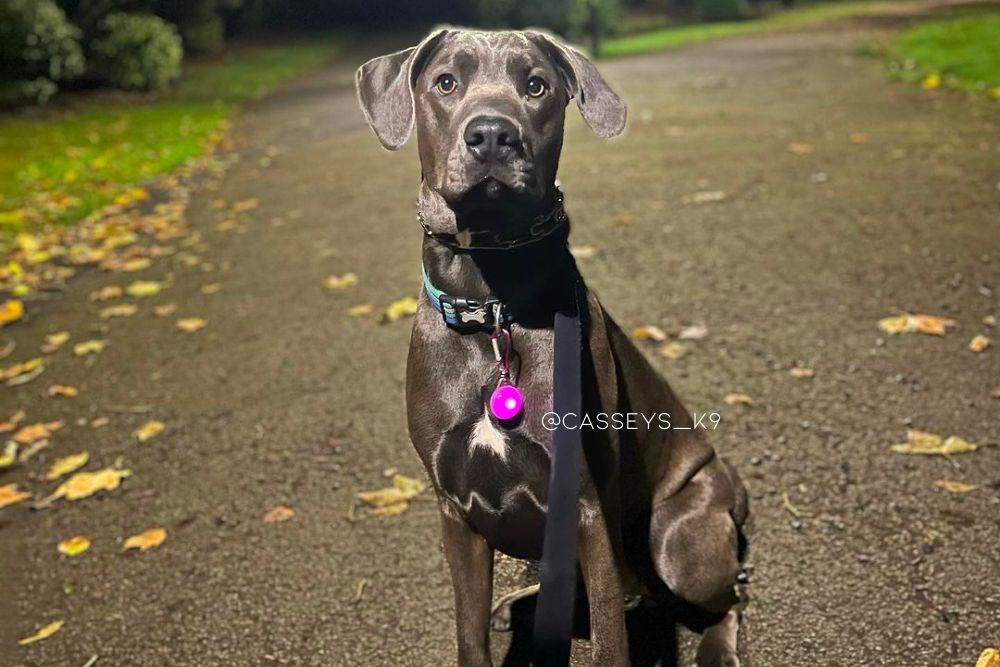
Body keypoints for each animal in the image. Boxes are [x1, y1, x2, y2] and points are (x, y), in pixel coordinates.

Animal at [356, 28, 748, 664]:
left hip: (679, 543)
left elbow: (611, 641)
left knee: (728, 594)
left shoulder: (583, 507)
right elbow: (469, 637)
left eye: (536, 85)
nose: (492, 134)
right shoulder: (456, 512)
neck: (492, 307)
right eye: (446, 82)